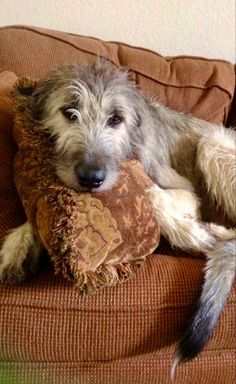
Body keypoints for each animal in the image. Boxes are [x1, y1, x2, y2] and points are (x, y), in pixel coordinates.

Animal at [0, 60, 235, 372]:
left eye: (115, 119)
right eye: (69, 112)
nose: (91, 178)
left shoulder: (186, 190)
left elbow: (150, 194)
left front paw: (191, 234)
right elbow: (40, 208)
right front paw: (21, 242)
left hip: (212, 145)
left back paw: (216, 234)